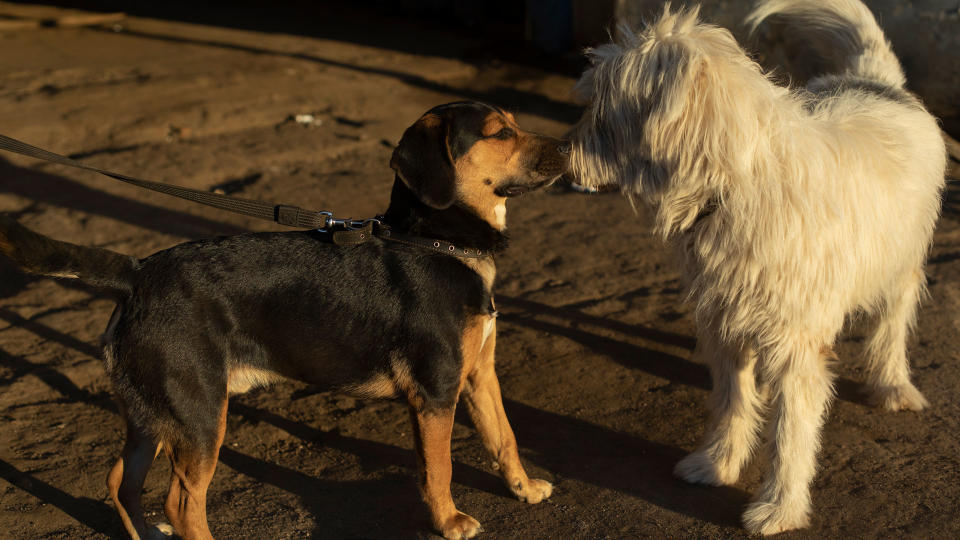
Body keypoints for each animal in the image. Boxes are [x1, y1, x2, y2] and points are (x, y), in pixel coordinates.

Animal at [0, 102, 568, 540]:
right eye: (499, 132)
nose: (568, 148)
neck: (435, 240)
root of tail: (136, 272)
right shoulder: (436, 392)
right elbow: (440, 467)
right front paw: (449, 522)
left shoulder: (479, 375)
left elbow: (504, 436)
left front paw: (524, 488)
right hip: (199, 416)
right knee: (181, 505)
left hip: (154, 414)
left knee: (122, 482)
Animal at [568, 0, 948, 532]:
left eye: (603, 104)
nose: (560, 153)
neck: (735, 184)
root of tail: (876, 80)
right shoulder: (725, 323)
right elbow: (733, 403)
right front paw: (717, 464)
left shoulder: (795, 346)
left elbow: (790, 433)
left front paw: (779, 508)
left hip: (900, 266)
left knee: (891, 328)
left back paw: (892, 385)